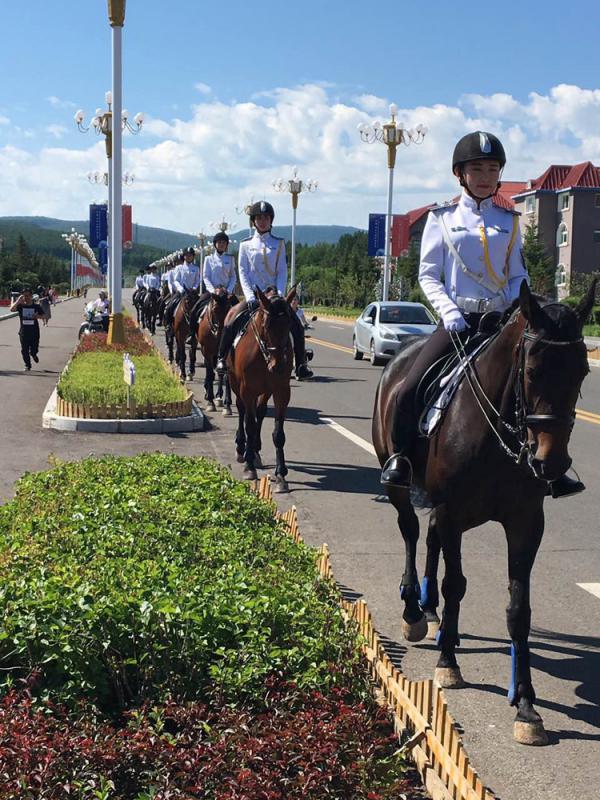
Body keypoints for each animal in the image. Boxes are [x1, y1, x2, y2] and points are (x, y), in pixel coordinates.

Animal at [226, 284, 296, 490]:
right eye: (266, 325)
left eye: (289, 324)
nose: (278, 365)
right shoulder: (247, 389)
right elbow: (249, 424)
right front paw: (249, 467)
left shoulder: (282, 391)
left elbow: (278, 433)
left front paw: (281, 474)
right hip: (235, 382)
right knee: (242, 410)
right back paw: (242, 448)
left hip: (265, 390)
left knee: (260, 411)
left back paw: (255, 450)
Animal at [372, 282, 592, 744]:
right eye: (532, 371)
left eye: (582, 372)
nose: (551, 462)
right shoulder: (453, 510)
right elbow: (456, 583)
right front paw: (448, 665)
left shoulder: (526, 522)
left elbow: (519, 610)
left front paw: (526, 706)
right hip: (399, 484)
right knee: (411, 531)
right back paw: (415, 611)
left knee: (430, 538)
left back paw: (432, 611)